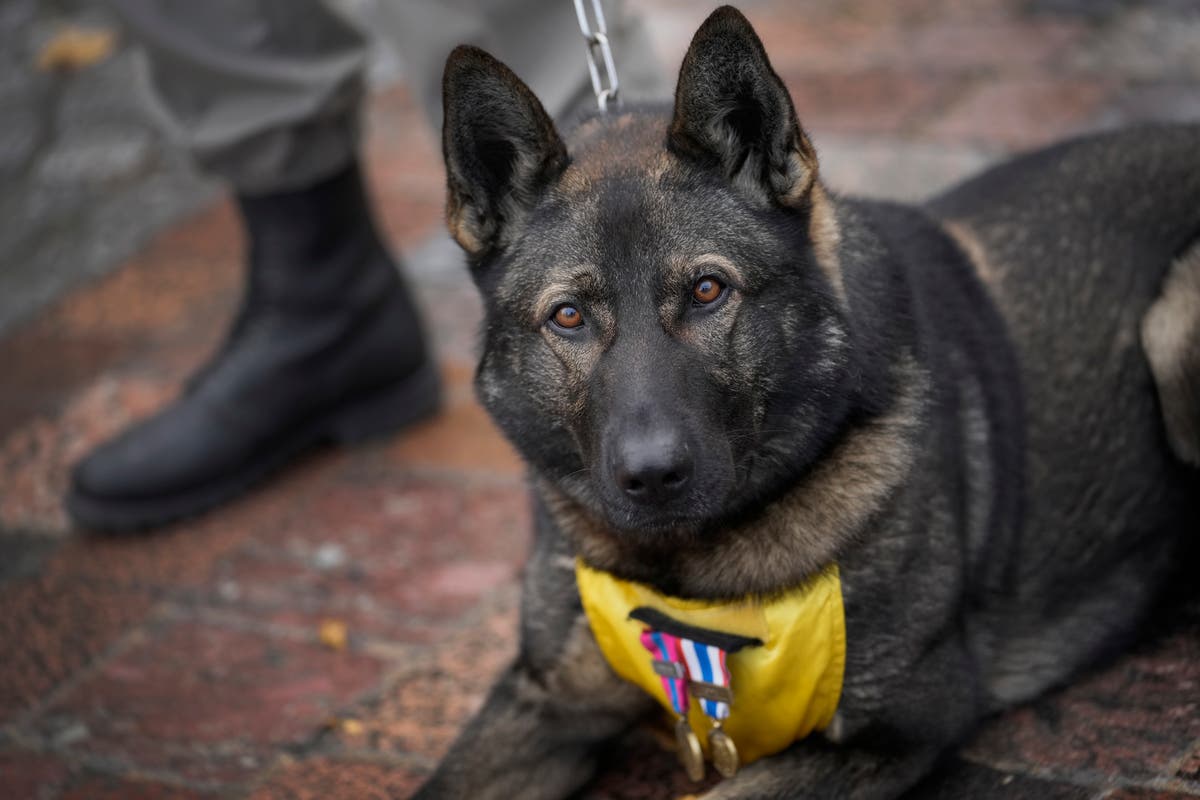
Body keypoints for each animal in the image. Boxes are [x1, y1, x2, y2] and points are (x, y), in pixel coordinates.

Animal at [415, 7, 1200, 800]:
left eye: (708, 291)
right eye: (569, 316)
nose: (652, 476)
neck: (684, 578)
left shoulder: (892, 727)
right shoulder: (545, 700)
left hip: (1173, 329)